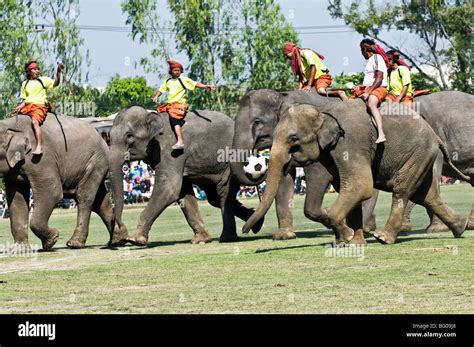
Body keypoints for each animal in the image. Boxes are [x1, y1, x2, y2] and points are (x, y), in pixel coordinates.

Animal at [0, 115, 128, 251]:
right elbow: (16, 200)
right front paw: (18, 249)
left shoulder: (40, 159)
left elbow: (52, 192)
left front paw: (52, 239)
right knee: (100, 202)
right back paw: (118, 240)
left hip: (95, 162)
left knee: (84, 197)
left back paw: (74, 244)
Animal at [107, 106, 262, 247]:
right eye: (109, 137)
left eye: (129, 136)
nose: (121, 231)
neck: (152, 115)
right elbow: (183, 192)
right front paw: (201, 240)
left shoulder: (172, 151)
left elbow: (169, 188)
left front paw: (135, 240)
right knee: (214, 198)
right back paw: (256, 224)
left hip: (232, 163)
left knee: (223, 193)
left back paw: (228, 238)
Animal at [230, 89, 378, 242]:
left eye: (257, 122)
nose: (247, 230)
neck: (283, 96)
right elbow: (284, 178)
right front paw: (284, 236)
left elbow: (318, 174)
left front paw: (341, 226)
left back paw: (365, 228)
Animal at [244, 99, 470, 246]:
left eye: (293, 138)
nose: (247, 230)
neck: (323, 111)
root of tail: (435, 135)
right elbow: (347, 186)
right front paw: (353, 242)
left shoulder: (351, 141)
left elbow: (360, 185)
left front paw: (347, 236)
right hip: (422, 156)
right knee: (426, 195)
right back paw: (460, 227)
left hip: (419, 152)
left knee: (402, 189)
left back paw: (383, 238)